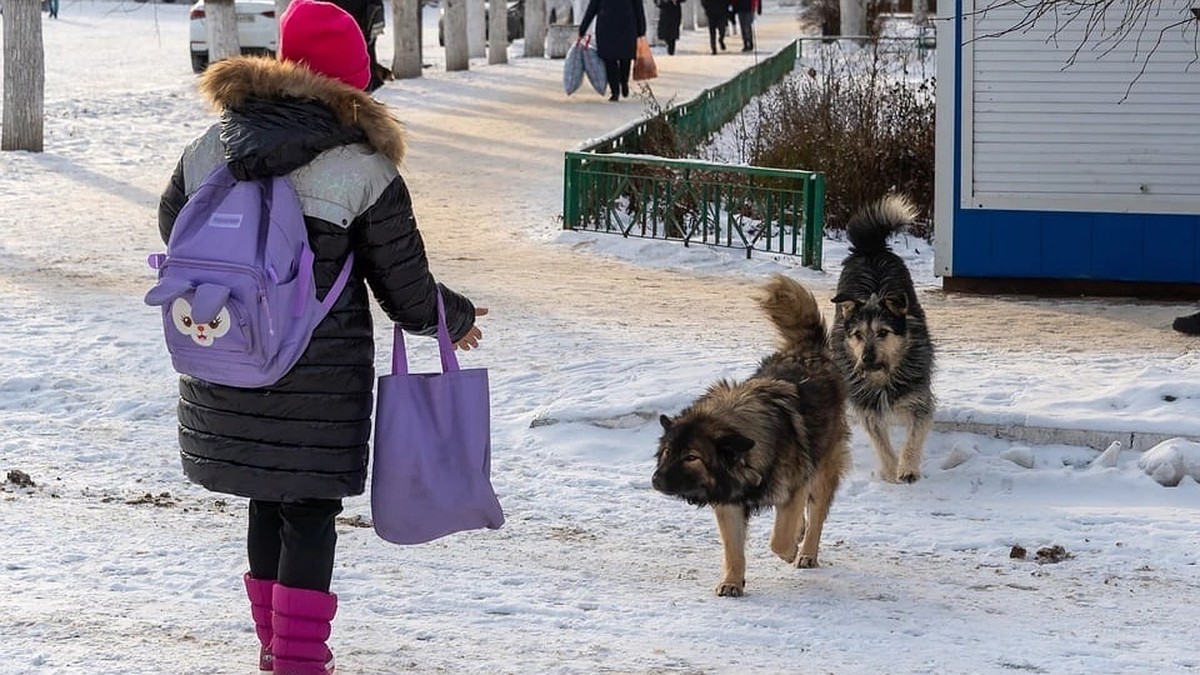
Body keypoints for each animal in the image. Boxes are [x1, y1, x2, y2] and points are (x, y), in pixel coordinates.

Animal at [830, 194, 931, 482]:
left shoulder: (919, 398)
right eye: (857, 334)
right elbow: (879, 440)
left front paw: (907, 468)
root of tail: (870, 248)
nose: (866, 358)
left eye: (883, 332)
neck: (884, 375)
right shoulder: (866, 405)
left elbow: (915, 434)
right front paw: (889, 470)